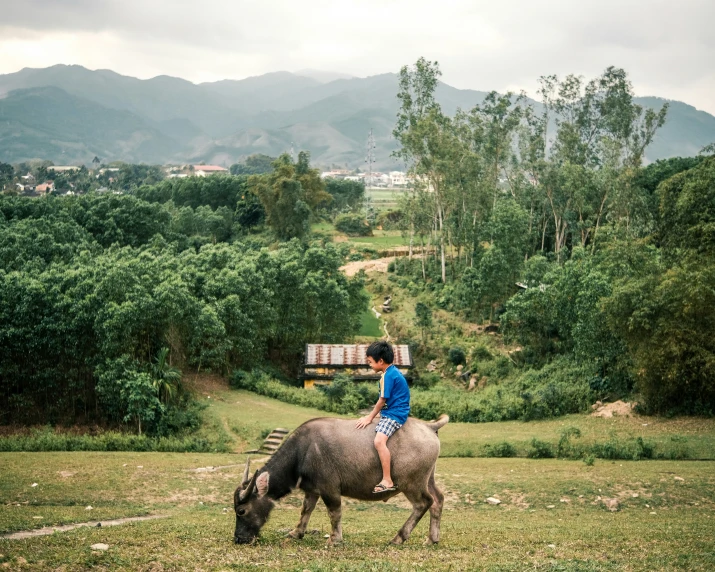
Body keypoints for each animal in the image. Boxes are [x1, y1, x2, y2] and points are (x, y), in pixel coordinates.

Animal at [235, 416, 448, 544]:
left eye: (241, 511)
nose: (238, 538)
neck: (303, 451)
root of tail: (428, 426)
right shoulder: (311, 490)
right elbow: (306, 510)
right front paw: (296, 533)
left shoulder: (329, 488)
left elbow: (334, 512)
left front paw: (335, 539)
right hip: (428, 479)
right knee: (437, 500)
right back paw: (432, 539)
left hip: (411, 483)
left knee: (423, 503)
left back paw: (399, 538)